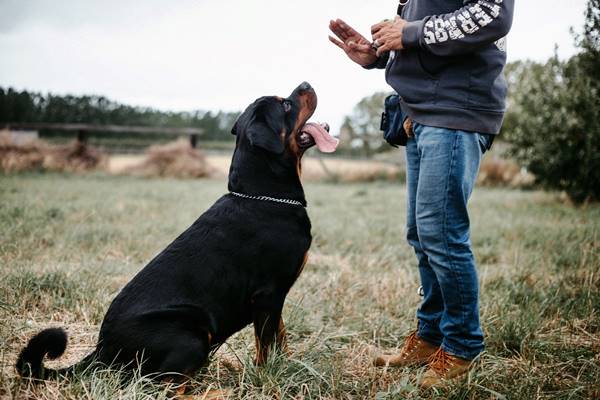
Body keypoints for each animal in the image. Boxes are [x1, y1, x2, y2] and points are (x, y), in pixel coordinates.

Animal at [15, 81, 338, 382]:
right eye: (285, 104)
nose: (306, 84)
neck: (263, 195)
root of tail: (102, 350)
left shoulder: (274, 300)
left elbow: (281, 340)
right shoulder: (268, 295)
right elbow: (267, 346)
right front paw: (270, 376)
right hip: (191, 334)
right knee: (163, 383)